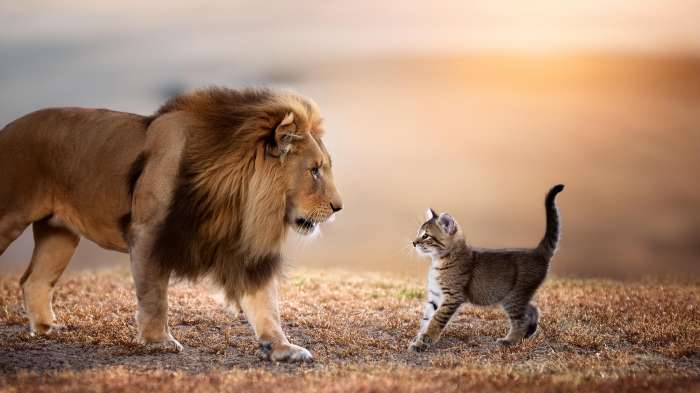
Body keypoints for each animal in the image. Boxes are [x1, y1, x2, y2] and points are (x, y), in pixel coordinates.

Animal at [0, 86, 342, 362]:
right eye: (314, 170)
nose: (338, 207)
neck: (236, 198)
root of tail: (7, 127)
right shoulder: (148, 233)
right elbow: (154, 296)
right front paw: (159, 341)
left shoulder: (244, 248)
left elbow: (266, 305)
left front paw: (283, 348)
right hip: (9, 218)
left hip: (60, 233)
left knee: (34, 281)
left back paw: (47, 329)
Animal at [410, 185, 564, 350]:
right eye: (418, 233)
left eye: (425, 236)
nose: (413, 242)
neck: (439, 262)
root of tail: (537, 251)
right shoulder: (435, 295)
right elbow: (426, 318)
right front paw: (419, 339)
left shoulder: (452, 296)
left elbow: (436, 319)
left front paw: (426, 339)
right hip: (515, 296)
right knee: (533, 309)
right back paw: (528, 333)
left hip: (513, 297)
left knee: (521, 320)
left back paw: (510, 341)